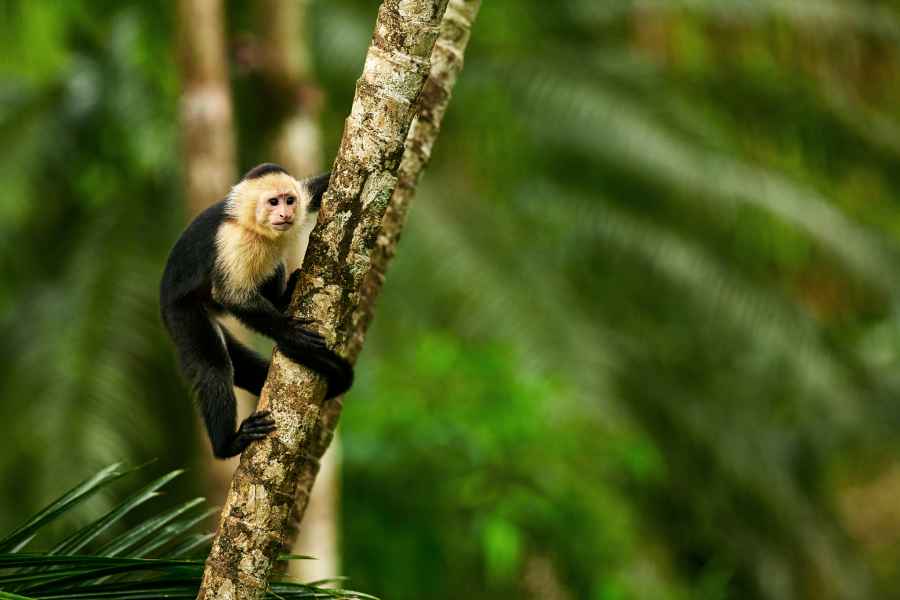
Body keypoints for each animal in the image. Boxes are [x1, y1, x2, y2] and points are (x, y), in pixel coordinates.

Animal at [160, 163, 353, 459]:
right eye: (273, 202)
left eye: (289, 200)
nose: (285, 214)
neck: (251, 224)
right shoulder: (232, 240)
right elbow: (232, 296)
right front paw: (290, 333)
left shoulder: (303, 195)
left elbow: (321, 187)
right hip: (182, 313)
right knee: (213, 366)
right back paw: (228, 445)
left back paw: (284, 299)